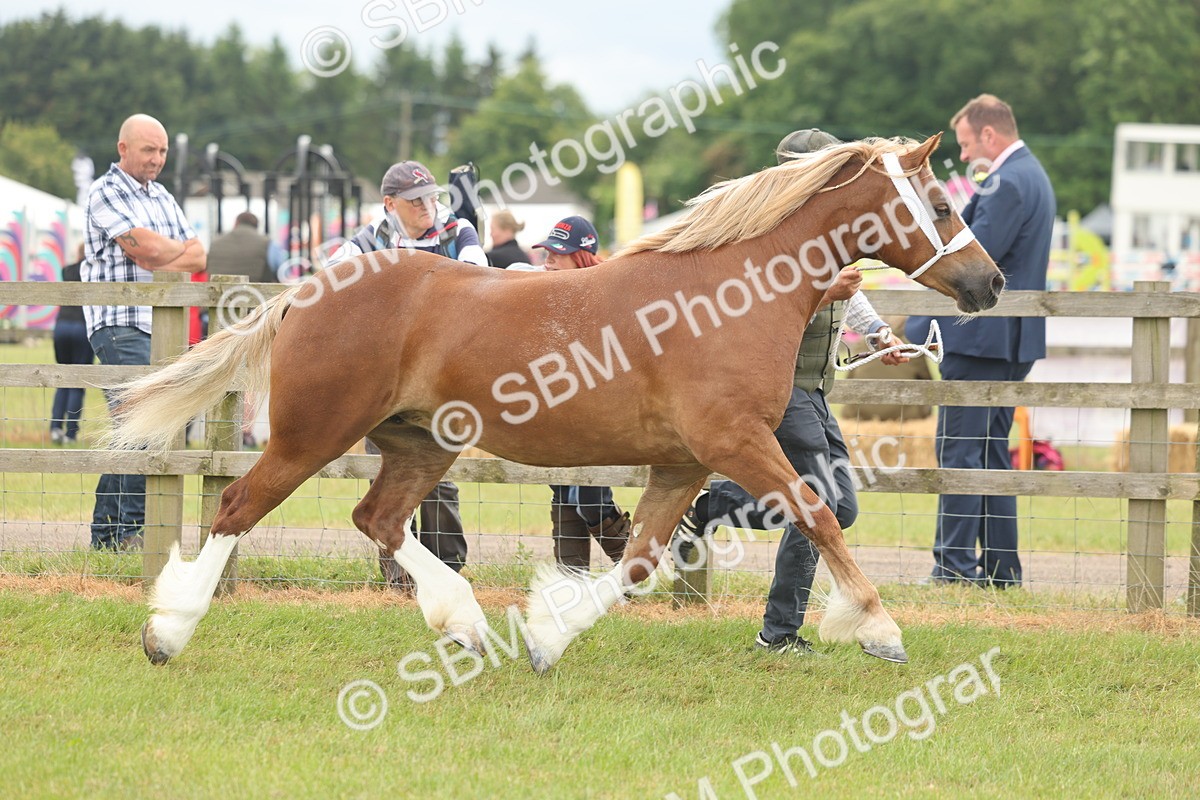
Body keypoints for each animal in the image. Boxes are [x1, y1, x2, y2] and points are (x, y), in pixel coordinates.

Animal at [111, 133, 1002, 669]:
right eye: (944, 204)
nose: (989, 282)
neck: (728, 295)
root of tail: (306, 291)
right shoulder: (738, 443)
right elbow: (817, 515)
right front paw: (879, 627)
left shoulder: (684, 463)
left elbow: (640, 558)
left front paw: (545, 636)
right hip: (312, 434)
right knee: (238, 507)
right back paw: (165, 632)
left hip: (421, 441)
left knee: (379, 520)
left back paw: (465, 622)